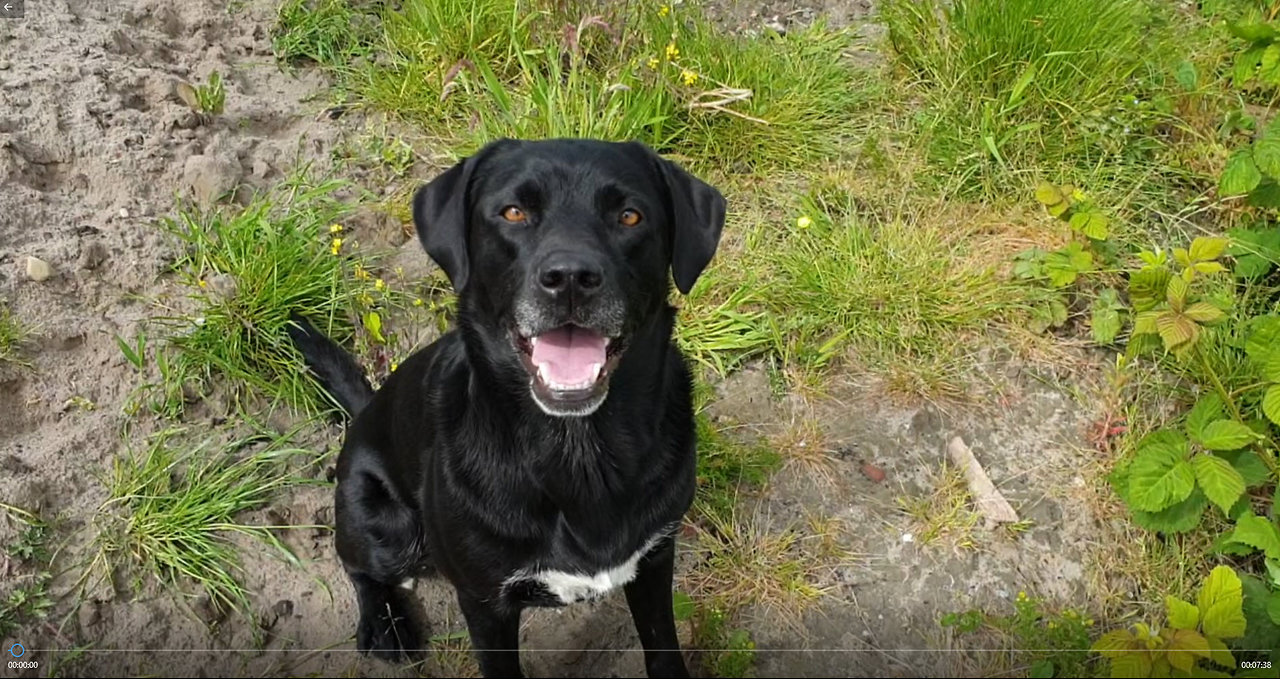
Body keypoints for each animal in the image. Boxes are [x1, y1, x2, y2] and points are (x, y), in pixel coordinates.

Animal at [293, 139, 727, 676]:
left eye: (629, 216)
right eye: (513, 212)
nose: (570, 278)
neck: (578, 448)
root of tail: (368, 407)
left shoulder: (655, 557)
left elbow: (662, 645)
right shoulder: (484, 602)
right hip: (385, 527)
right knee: (357, 564)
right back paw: (386, 625)